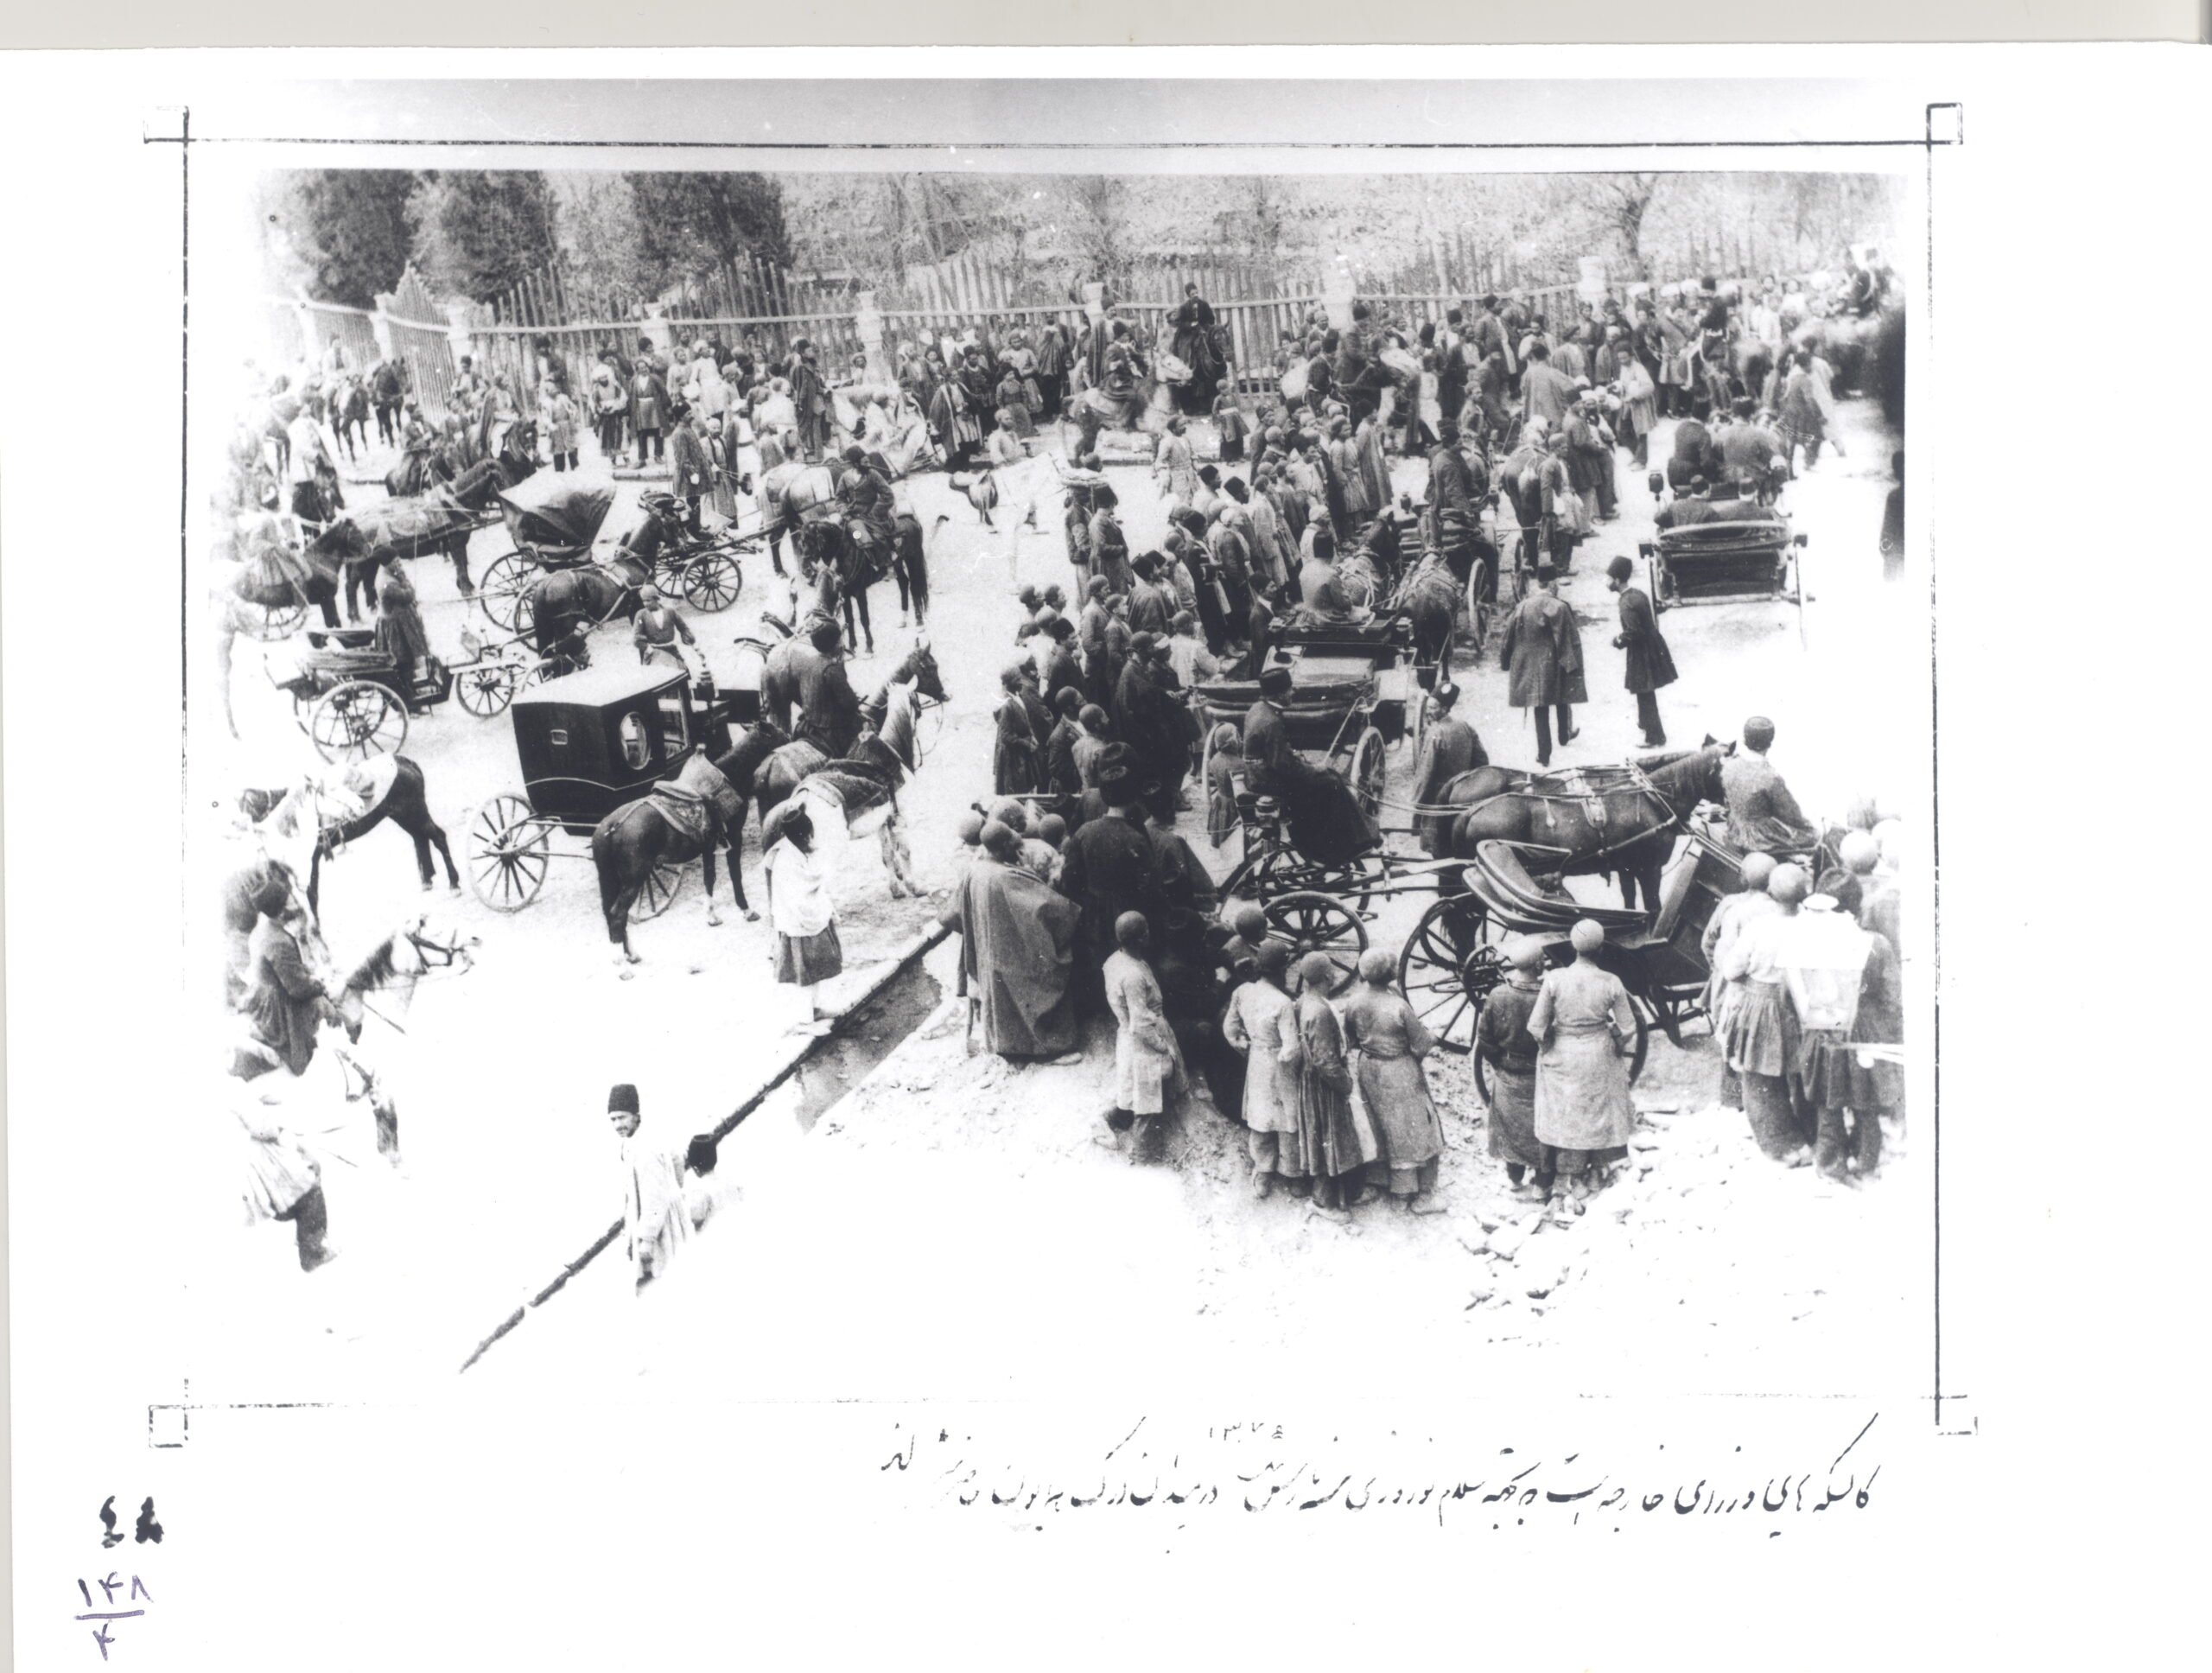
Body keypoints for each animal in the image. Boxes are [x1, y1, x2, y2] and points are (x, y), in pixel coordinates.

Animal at [752, 641, 949, 900]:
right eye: (930, 667)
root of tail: (766, 770)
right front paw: (911, 884)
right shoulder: (898, 813)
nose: (946, 695)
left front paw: (897, 884)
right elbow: (901, 850)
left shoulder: (883, 815)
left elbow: (887, 851)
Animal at [1430, 742, 1732, 914]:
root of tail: (1470, 812)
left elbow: (1630, 902)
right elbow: (1653, 907)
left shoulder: (1626, 867)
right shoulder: (1650, 869)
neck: (1650, 797)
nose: (1727, 812)